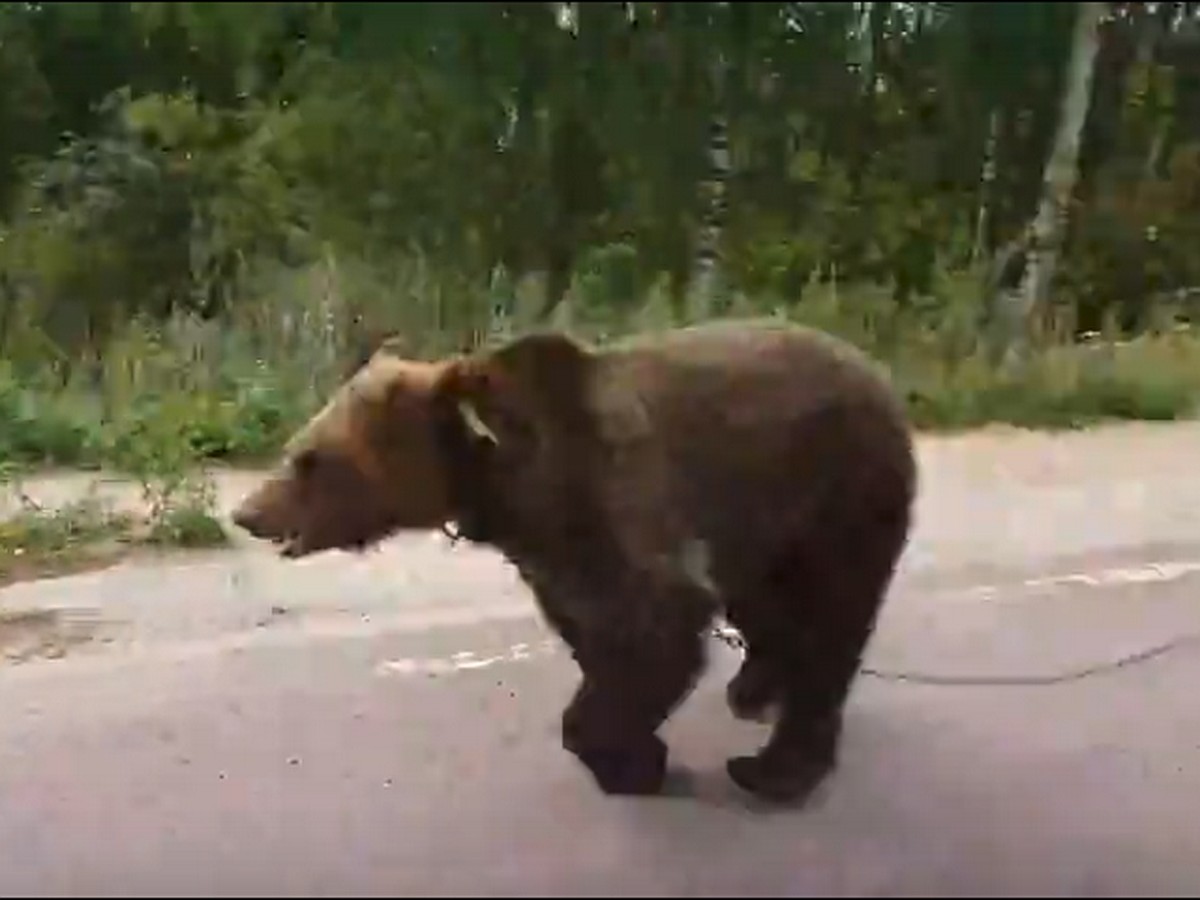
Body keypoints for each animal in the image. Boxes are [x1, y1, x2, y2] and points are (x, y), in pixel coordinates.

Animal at [229, 321, 912, 806]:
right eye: (297, 446)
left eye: (310, 459)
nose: (246, 512)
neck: (502, 487)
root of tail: (877, 373)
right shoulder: (550, 553)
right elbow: (593, 634)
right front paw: (633, 750)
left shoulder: (615, 498)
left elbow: (655, 623)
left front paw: (630, 761)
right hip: (766, 521)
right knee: (767, 606)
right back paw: (753, 692)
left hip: (842, 488)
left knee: (833, 619)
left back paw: (772, 770)